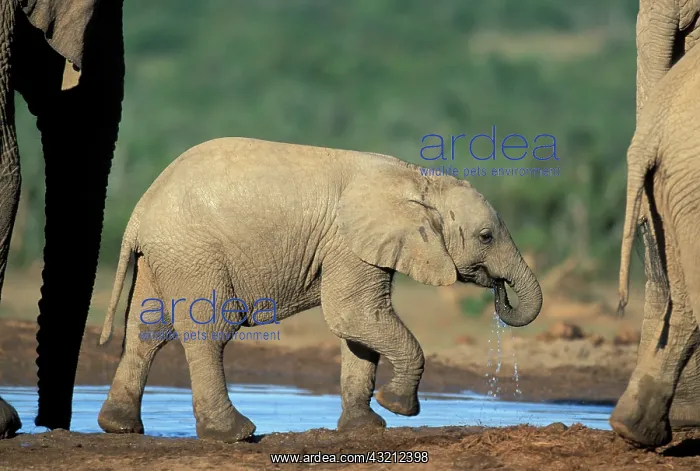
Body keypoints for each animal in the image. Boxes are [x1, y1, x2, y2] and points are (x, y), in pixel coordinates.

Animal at [95, 137, 543, 442]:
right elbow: (354, 314)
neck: (420, 180)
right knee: (210, 331)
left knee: (146, 331)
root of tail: (139, 211)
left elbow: (359, 329)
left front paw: (366, 429)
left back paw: (119, 427)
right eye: (486, 237)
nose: (498, 290)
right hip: (194, 252)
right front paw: (397, 406)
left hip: (165, 256)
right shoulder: (347, 242)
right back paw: (236, 435)